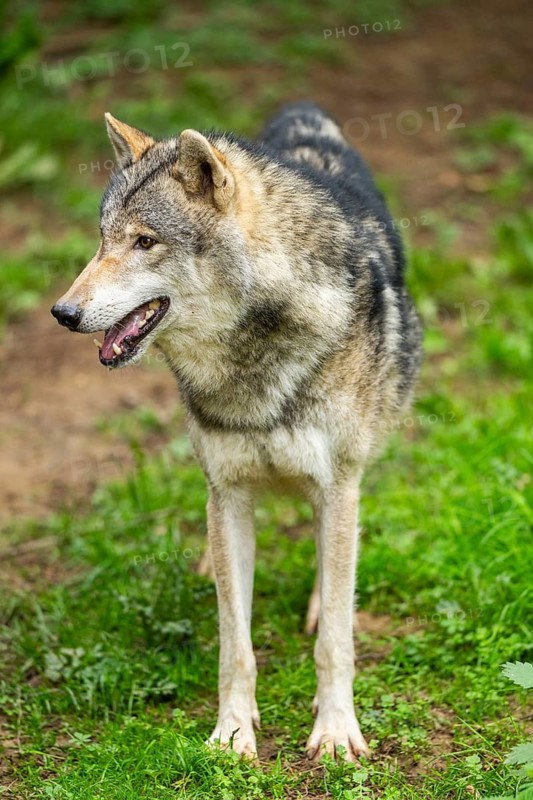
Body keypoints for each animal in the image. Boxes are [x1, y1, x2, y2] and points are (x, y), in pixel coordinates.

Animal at [51, 102, 422, 761]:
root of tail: (302, 113)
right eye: (102, 240)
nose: (63, 314)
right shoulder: (227, 493)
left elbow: (335, 639)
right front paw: (232, 733)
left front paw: (335, 730)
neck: (253, 362)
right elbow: (235, 644)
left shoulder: (338, 485)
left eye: (145, 242)